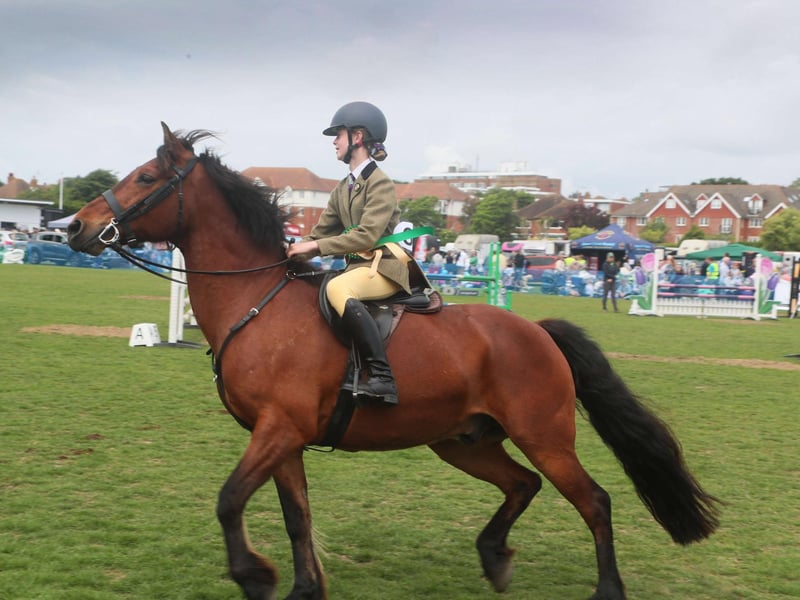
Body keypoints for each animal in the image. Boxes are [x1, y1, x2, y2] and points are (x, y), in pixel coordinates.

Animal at [67, 123, 719, 600]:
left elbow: (229, 500)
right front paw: (303, 589)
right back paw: (494, 557)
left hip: (545, 435)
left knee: (594, 501)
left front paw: (255, 577)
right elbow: (296, 517)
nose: (74, 225)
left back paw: (606, 589)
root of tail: (536, 331)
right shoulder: (282, 438)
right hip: (463, 441)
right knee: (523, 484)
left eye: (147, 176)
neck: (255, 300)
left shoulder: (278, 429)